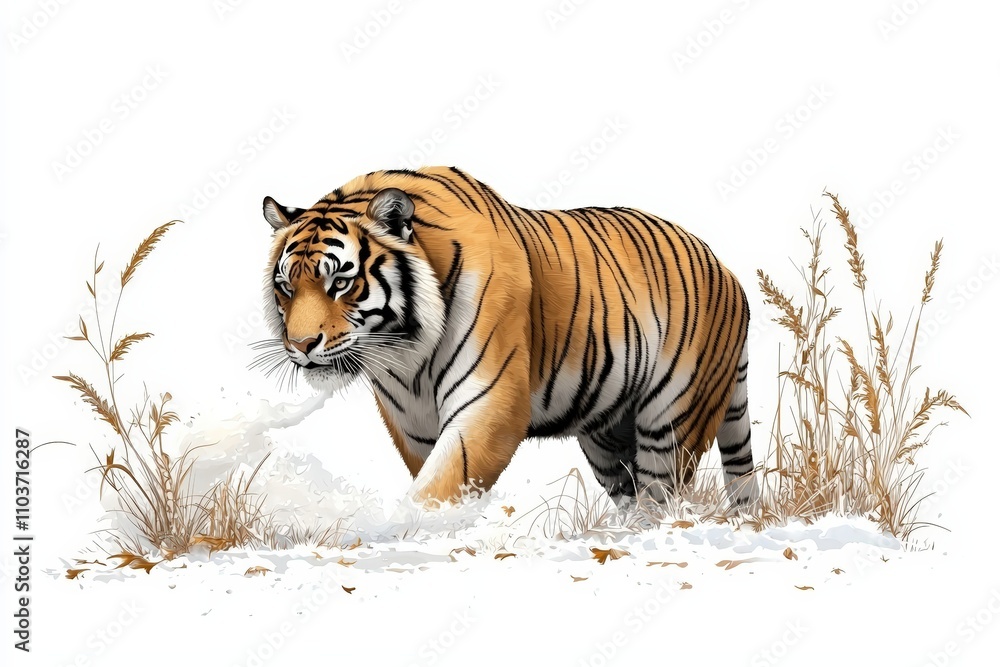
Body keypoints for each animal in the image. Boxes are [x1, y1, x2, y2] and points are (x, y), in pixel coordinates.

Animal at [260, 166, 759, 509]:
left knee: (661, 495)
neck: (404, 354)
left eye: (340, 283)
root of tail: (728, 270)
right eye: (286, 285)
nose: (301, 346)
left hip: (673, 422)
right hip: (607, 435)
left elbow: (438, 488)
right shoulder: (412, 423)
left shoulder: (489, 406)